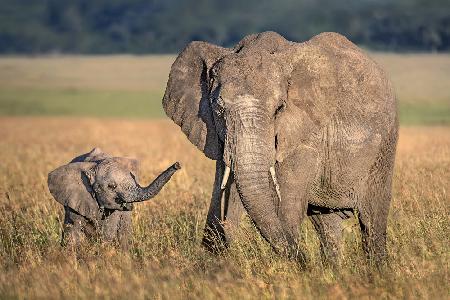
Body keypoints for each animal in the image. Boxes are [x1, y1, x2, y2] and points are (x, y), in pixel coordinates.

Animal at [48, 148, 180, 248]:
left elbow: (108, 232)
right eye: (112, 186)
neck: (94, 166)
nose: (177, 165)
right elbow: (73, 228)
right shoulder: (75, 198)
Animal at [162, 31, 398, 264]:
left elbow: (285, 209)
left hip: (384, 148)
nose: (305, 261)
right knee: (327, 223)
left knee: (372, 218)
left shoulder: (305, 136)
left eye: (279, 109)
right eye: (218, 109)